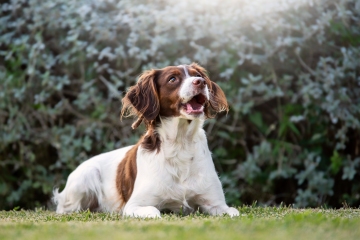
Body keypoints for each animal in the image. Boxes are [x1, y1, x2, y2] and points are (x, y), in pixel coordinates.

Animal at [53, 62, 239, 218]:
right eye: (173, 79)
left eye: (198, 75)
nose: (201, 82)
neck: (180, 143)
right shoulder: (134, 205)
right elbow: (155, 211)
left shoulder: (217, 204)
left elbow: (233, 212)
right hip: (86, 176)